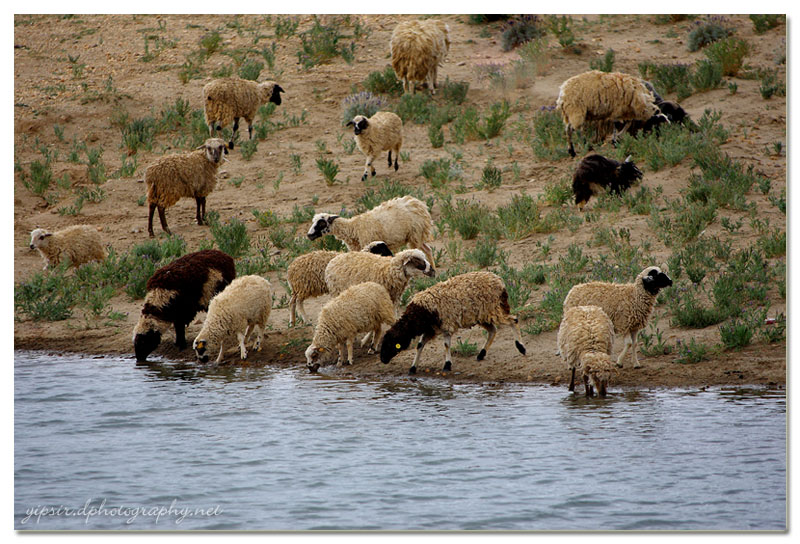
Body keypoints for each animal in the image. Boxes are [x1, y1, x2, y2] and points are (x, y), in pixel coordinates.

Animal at [306, 194, 434, 264]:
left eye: (321, 223)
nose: (309, 235)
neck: (354, 228)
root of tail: (419, 204)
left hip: (415, 234)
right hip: (415, 236)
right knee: (428, 250)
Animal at [380, 270, 528, 374]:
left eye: (391, 344)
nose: (383, 360)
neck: (419, 312)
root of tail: (499, 281)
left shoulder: (446, 325)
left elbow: (446, 345)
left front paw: (447, 365)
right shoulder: (431, 329)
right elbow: (420, 345)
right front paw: (413, 368)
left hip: (493, 308)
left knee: (513, 321)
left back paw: (521, 348)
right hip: (482, 315)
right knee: (493, 331)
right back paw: (481, 354)